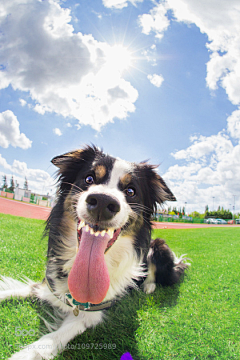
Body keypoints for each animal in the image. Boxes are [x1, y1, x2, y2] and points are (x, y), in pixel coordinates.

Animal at [0, 145, 189, 358]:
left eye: (131, 191)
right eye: (89, 179)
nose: (102, 202)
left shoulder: (91, 315)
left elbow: (51, 339)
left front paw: (25, 354)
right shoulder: (47, 287)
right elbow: (12, 290)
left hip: (159, 246)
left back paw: (148, 286)